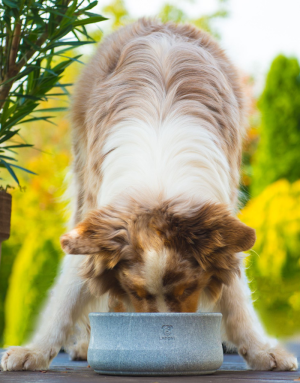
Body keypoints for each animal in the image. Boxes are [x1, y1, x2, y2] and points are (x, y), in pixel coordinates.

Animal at [1, 19, 298, 374]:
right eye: (136, 292)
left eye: (189, 289)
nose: (165, 336)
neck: (159, 182)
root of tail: (162, 22)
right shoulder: (92, 217)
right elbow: (68, 294)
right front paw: (34, 351)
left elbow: (237, 298)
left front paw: (261, 350)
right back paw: (86, 344)